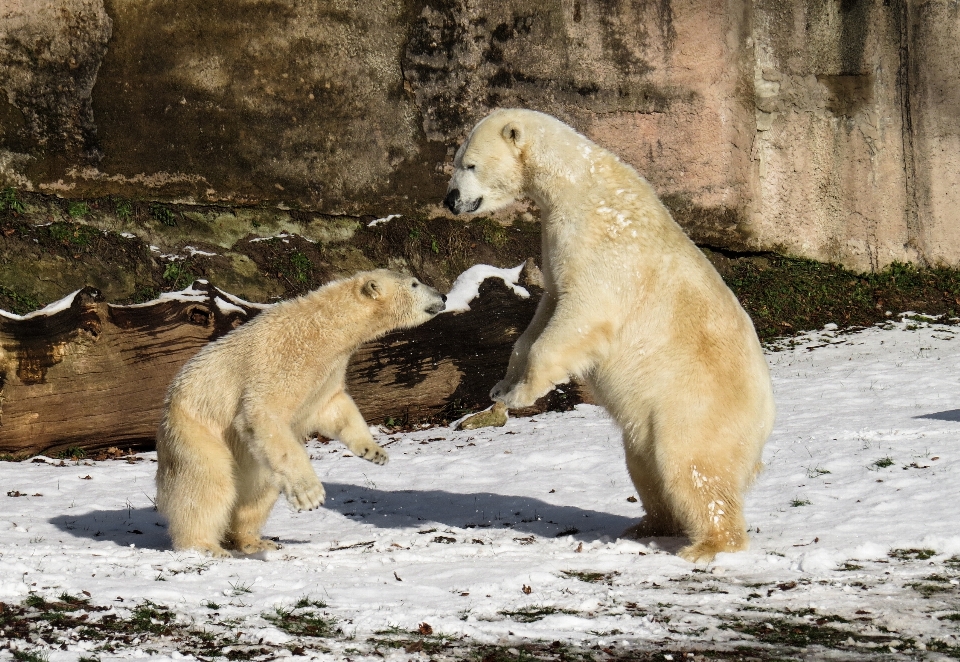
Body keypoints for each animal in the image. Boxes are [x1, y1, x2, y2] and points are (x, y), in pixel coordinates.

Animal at [155, 272, 446, 556]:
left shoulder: (328, 371)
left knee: (258, 491)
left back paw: (254, 541)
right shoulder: (284, 358)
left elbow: (334, 407)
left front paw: (374, 451)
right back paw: (203, 546)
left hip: (249, 458)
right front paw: (310, 495)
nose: (443, 295)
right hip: (195, 429)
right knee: (208, 484)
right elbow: (263, 412)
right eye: (414, 283)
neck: (325, 328)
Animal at [446, 109, 776, 564]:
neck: (578, 181)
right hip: (649, 425)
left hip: (696, 405)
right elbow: (542, 315)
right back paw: (646, 525)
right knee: (644, 465)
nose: (450, 199)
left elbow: (581, 313)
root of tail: (765, 423)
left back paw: (705, 545)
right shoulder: (555, 246)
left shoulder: (600, 244)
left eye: (470, 164)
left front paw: (521, 394)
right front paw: (501, 385)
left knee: (691, 464)